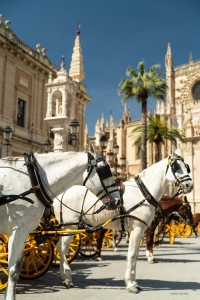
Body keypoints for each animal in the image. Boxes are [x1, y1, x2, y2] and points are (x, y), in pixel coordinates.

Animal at [53, 152, 194, 292]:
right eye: (176, 167)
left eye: (187, 167)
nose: (190, 185)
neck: (142, 193)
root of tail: (60, 194)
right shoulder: (137, 229)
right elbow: (132, 255)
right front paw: (131, 284)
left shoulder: (140, 230)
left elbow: (136, 255)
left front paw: (133, 282)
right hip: (70, 226)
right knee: (62, 247)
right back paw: (66, 277)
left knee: (62, 246)